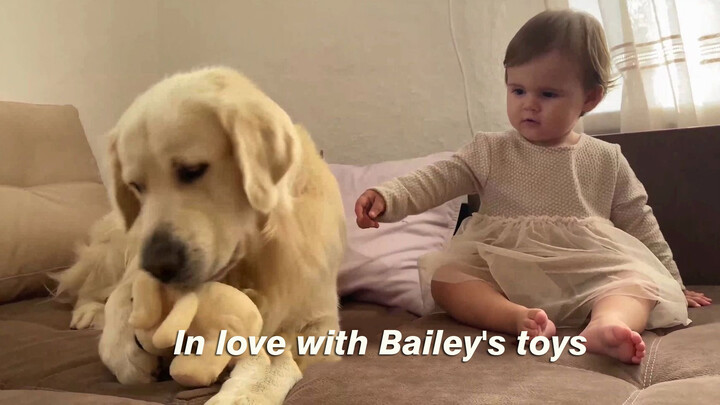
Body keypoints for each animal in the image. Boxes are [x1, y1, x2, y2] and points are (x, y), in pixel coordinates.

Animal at [54, 65, 348, 400]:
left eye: (192, 170)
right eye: (136, 186)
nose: (158, 267)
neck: (254, 262)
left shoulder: (317, 322)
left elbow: (277, 359)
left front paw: (244, 395)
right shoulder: (135, 270)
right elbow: (120, 303)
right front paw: (129, 354)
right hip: (117, 246)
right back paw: (88, 313)